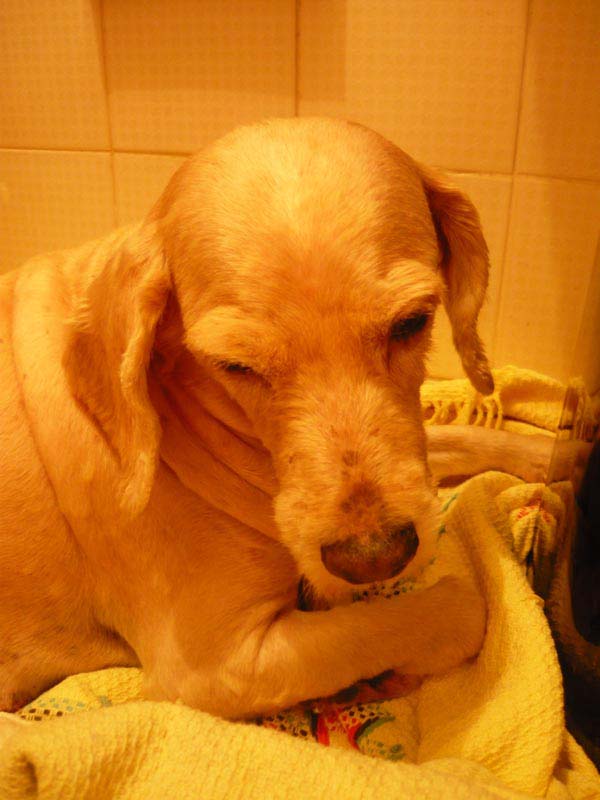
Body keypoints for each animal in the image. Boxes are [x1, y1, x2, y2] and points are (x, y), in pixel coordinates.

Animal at [1, 116, 530, 718]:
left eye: (412, 322)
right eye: (235, 366)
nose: (374, 558)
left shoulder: (412, 450)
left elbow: (467, 438)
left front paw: (559, 453)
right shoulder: (212, 670)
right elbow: (426, 615)